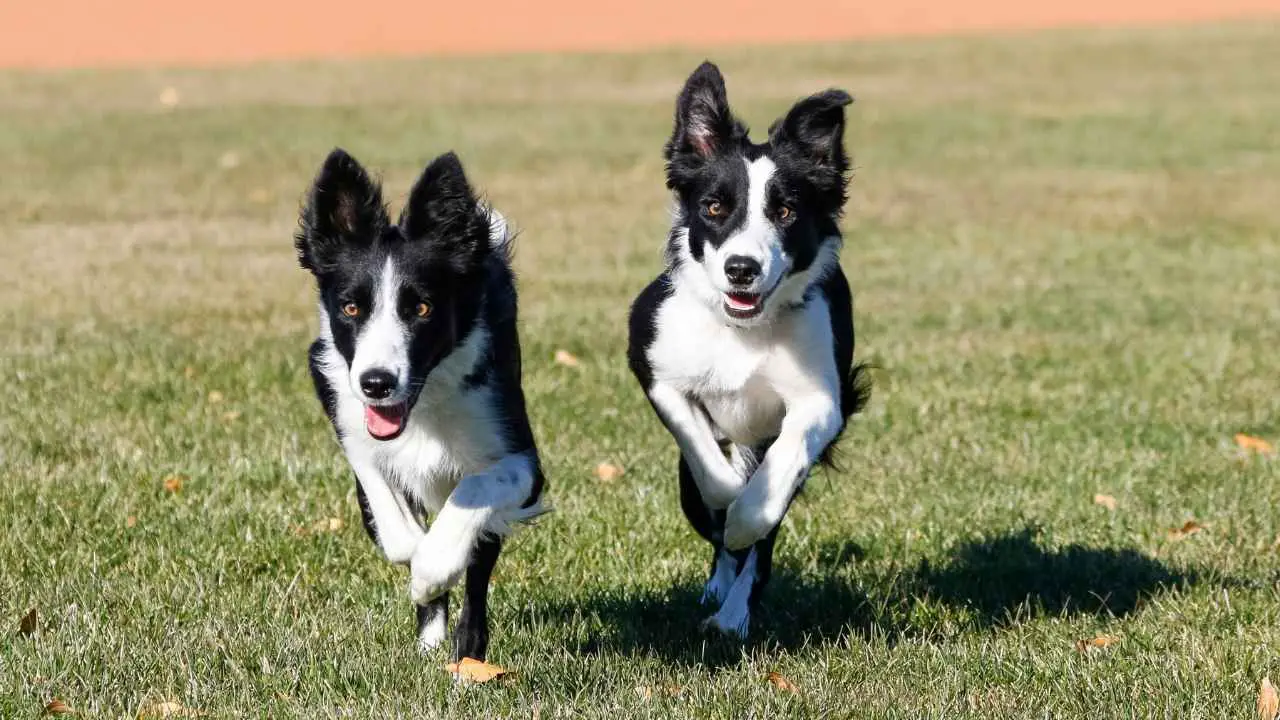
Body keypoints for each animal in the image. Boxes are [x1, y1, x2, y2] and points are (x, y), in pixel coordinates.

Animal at [295, 148, 545, 661]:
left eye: (422, 308)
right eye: (351, 308)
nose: (376, 383)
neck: (424, 404)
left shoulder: (523, 462)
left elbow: (475, 492)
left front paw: (432, 567)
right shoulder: (348, 418)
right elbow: (387, 509)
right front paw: (415, 552)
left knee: (478, 570)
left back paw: (466, 656)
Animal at [627, 60, 870, 632]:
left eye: (785, 212)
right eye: (714, 206)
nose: (742, 268)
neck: (743, 330)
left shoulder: (822, 399)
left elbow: (779, 472)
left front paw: (747, 518)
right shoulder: (654, 365)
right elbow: (708, 468)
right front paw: (731, 504)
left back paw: (733, 614)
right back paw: (720, 584)